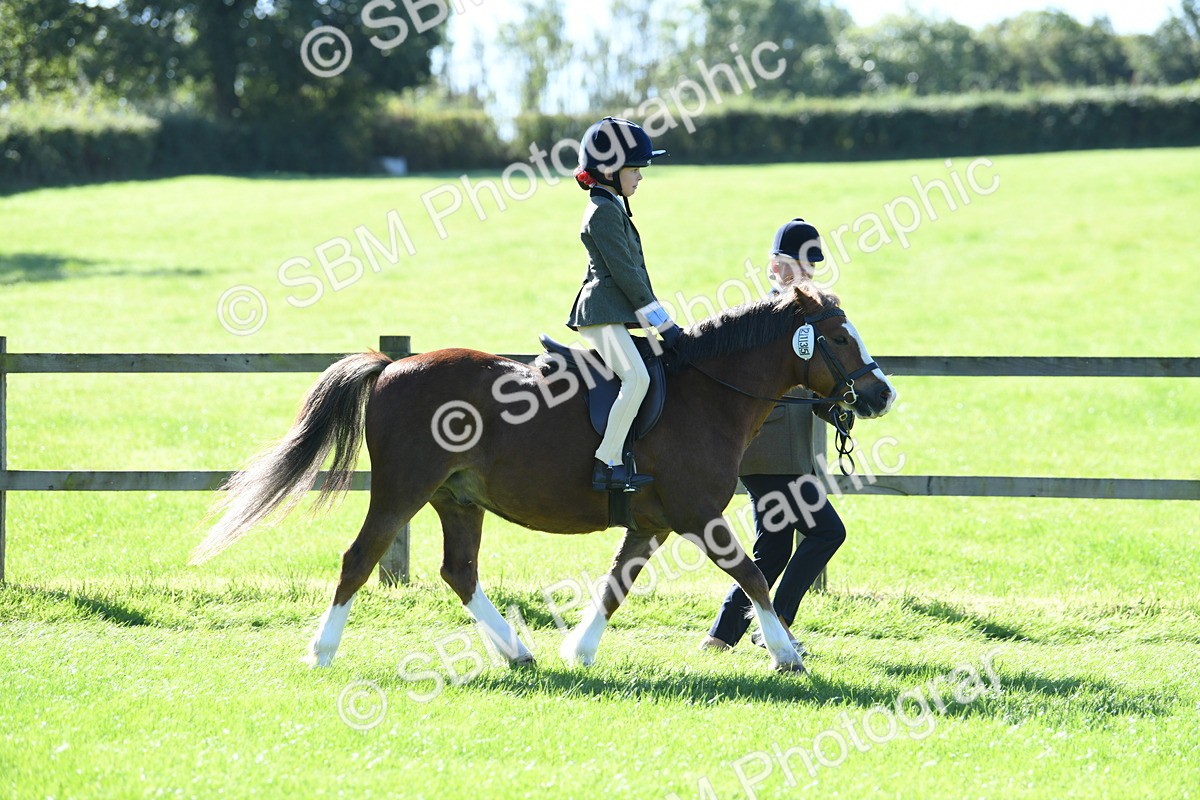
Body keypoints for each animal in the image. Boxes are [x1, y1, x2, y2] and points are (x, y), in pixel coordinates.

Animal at [190, 282, 895, 672]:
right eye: (838, 336)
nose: (882, 393)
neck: (707, 391)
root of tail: (393, 365)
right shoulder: (698, 514)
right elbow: (752, 575)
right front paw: (787, 654)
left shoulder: (653, 523)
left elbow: (616, 585)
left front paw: (579, 651)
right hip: (402, 491)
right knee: (360, 558)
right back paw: (322, 651)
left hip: (457, 499)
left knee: (459, 572)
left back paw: (516, 651)